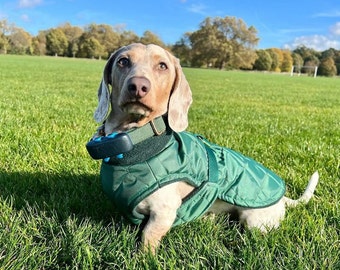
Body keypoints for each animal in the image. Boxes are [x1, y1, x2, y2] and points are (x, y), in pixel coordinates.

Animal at [87, 42, 318, 253]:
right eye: (123, 61)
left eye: (162, 66)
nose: (138, 86)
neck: (134, 144)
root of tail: (283, 198)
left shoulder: (164, 212)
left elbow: (148, 237)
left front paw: (144, 257)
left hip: (254, 220)